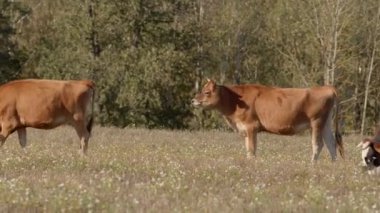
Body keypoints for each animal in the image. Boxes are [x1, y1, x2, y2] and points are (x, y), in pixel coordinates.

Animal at [191, 79, 342, 162]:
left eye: (207, 92)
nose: (193, 100)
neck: (235, 100)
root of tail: (326, 87)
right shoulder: (245, 129)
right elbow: (248, 150)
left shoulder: (251, 126)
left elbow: (252, 150)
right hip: (326, 123)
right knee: (331, 144)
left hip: (316, 122)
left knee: (318, 145)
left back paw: (312, 165)